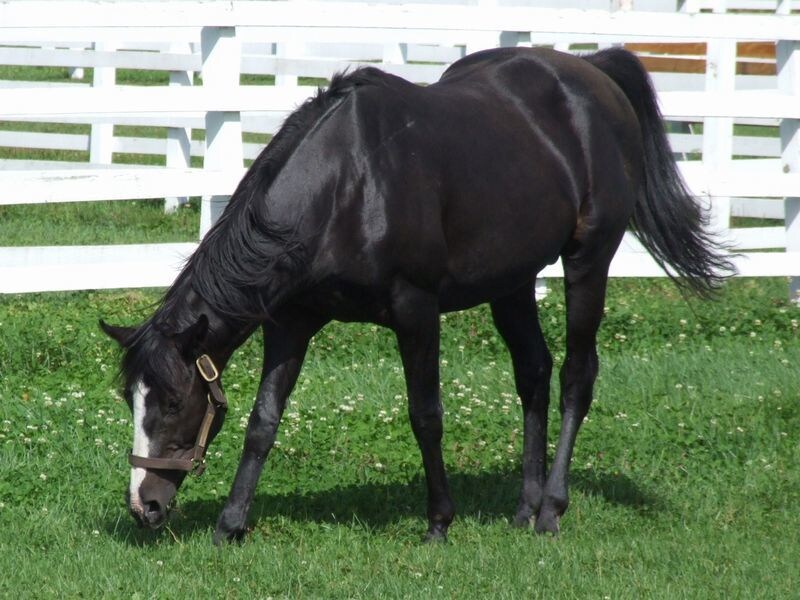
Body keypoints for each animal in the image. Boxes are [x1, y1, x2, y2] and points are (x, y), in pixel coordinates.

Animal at [101, 46, 732, 544]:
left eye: (173, 403)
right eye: (131, 399)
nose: (144, 505)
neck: (347, 186)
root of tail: (593, 72)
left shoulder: (416, 312)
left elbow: (425, 415)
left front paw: (439, 522)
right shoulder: (292, 322)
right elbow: (263, 421)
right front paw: (231, 524)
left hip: (587, 263)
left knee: (578, 375)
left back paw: (551, 508)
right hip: (513, 282)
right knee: (533, 372)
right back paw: (524, 508)